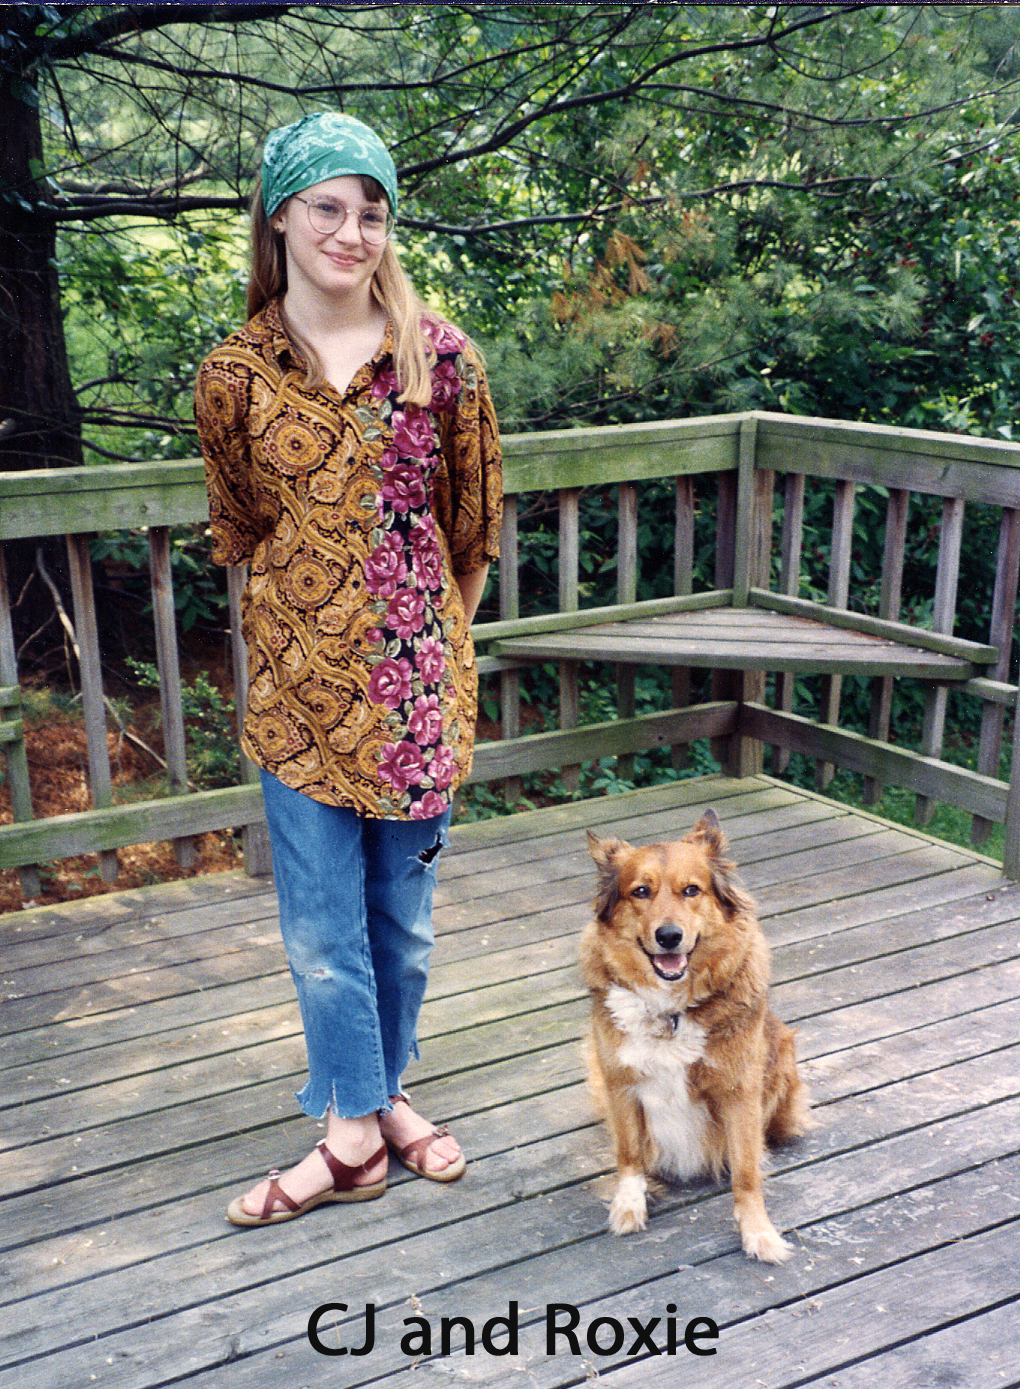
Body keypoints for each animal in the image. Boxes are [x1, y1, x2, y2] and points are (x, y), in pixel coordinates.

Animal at [578, 811, 811, 1266]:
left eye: (691, 890)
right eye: (641, 891)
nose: (669, 936)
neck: (670, 1011)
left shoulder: (740, 1092)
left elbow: (746, 1172)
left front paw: (758, 1233)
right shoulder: (619, 1080)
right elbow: (629, 1154)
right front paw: (629, 1205)